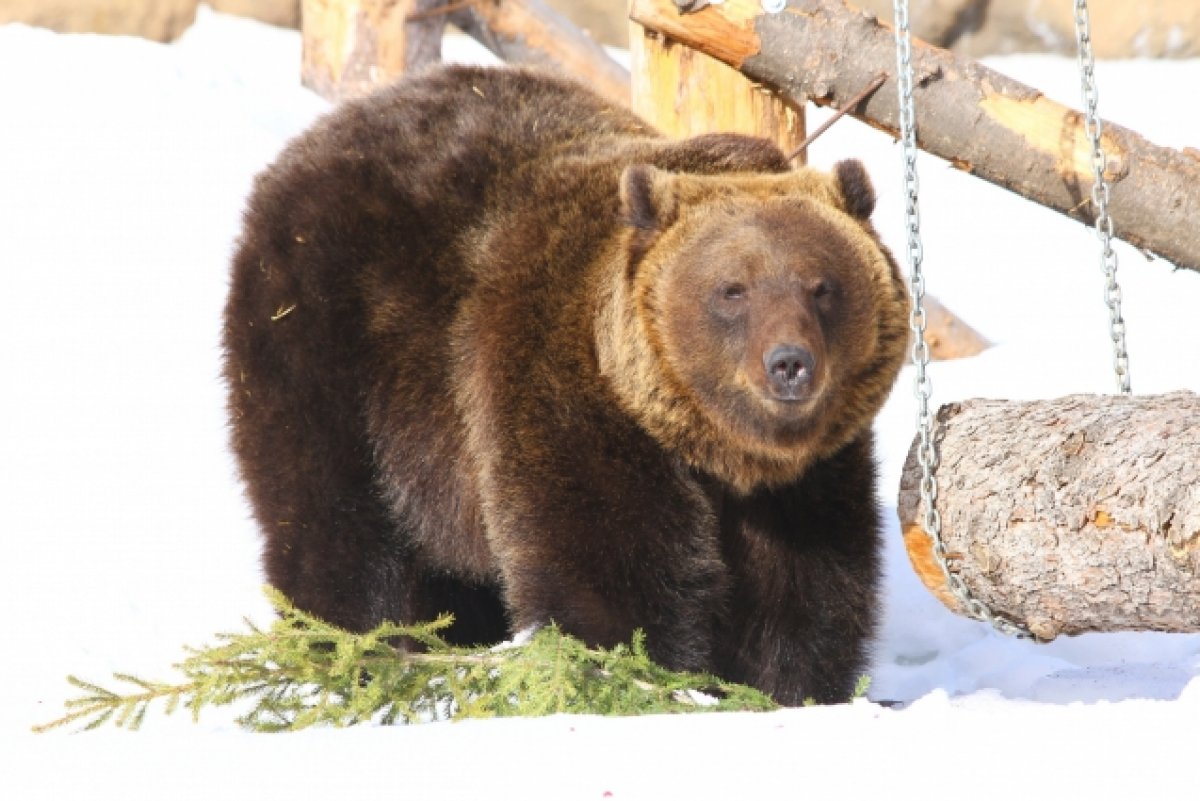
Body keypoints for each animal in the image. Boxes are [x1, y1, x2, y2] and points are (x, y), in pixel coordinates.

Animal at [223, 64, 907, 700]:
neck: (718, 452)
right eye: (732, 290)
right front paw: (635, 674)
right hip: (329, 341)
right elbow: (610, 568)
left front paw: (783, 690)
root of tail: (319, 133)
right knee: (334, 521)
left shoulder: (809, 477)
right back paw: (349, 652)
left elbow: (805, 589)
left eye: (822, 286)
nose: (790, 362)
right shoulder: (568, 393)